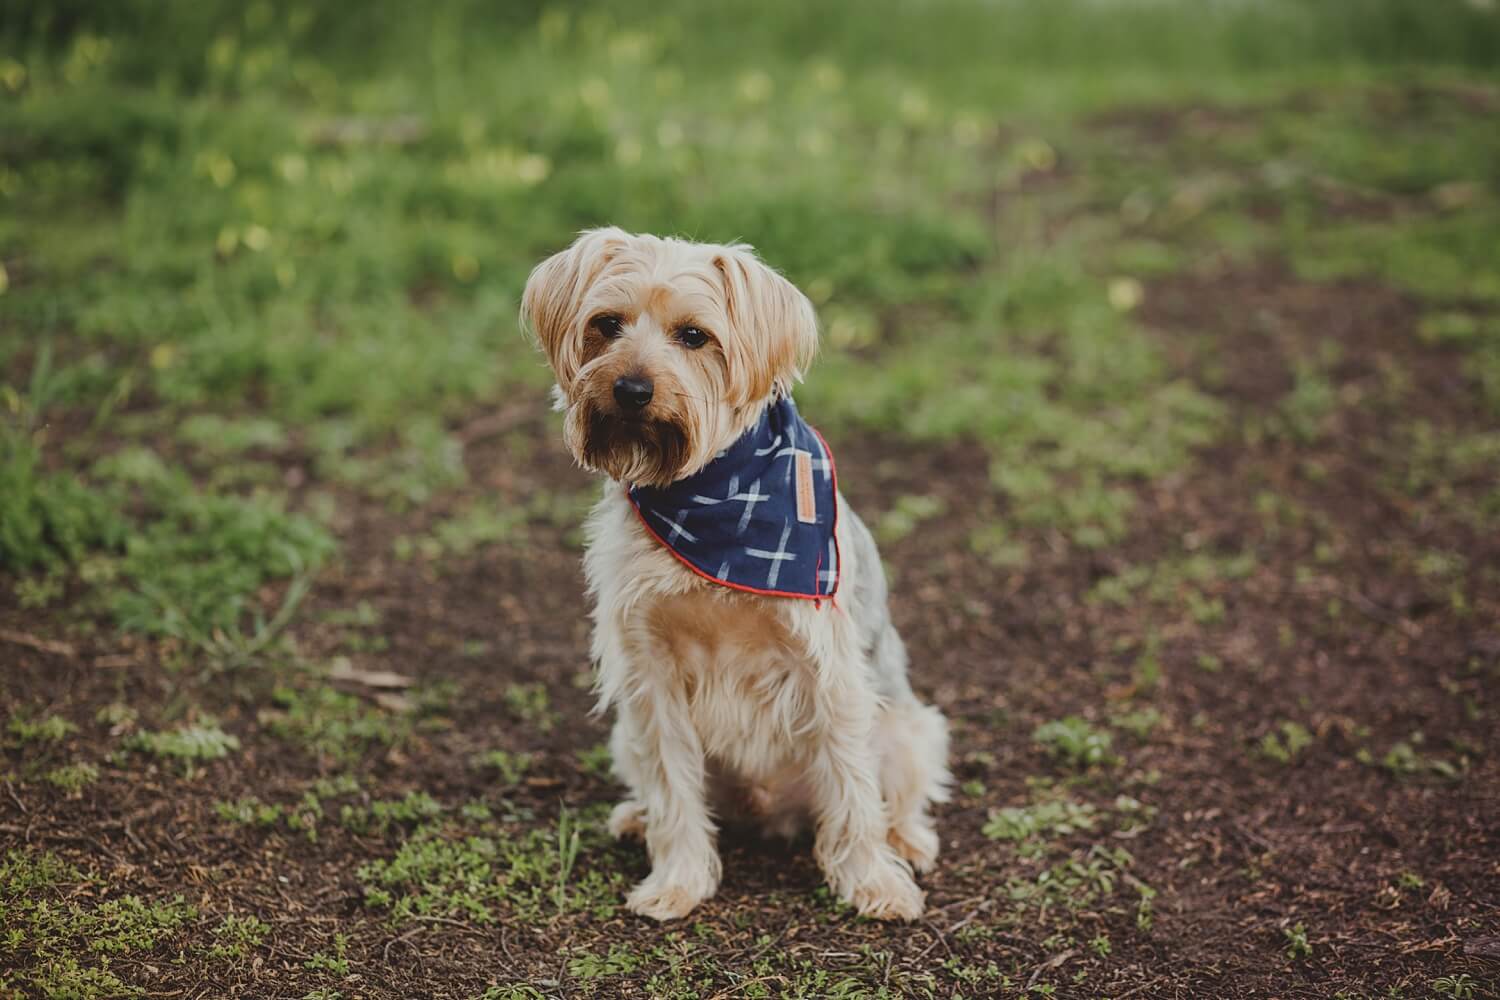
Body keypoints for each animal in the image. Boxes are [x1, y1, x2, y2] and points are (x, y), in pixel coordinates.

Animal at [525, 229, 948, 923]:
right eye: (606, 324)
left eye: (695, 336)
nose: (631, 390)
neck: (709, 493)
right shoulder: (649, 670)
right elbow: (673, 784)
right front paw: (677, 880)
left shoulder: (827, 664)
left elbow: (852, 785)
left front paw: (872, 883)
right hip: (625, 735)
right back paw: (639, 819)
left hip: (909, 728)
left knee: (893, 791)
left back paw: (905, 840)